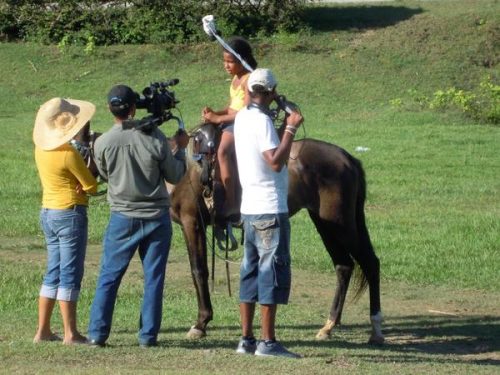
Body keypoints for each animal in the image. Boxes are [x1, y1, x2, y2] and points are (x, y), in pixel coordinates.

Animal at [170, 124, 384, 346]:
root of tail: (347, 158)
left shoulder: (192, 222)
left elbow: (198, 270)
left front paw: (201, 323)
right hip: (326, 224)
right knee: (344, 266)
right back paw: (329, 325)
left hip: (340, 225)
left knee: (370, 263)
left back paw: (376, 329)